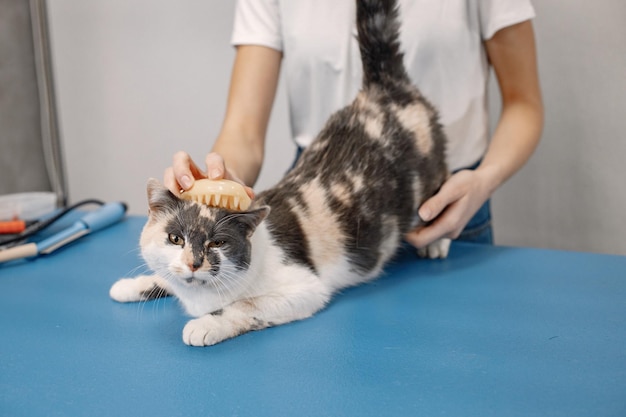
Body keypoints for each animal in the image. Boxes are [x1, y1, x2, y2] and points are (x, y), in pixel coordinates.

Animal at [108, 0, 448, 346]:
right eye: (175, 239)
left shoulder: (305, 289)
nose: (194, 262)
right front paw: (132, 285)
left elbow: (244, 305)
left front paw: (205, 324)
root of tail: (383, 88)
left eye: (218, 243)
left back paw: (436, 241)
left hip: (430, 178)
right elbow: (166, 276)